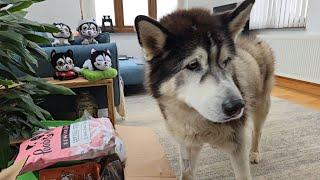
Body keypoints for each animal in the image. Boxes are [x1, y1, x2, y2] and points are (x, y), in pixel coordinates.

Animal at [135, 0, 276, 179]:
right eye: (193, 64)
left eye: (226, 60)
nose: (237, 107)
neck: (198, 120)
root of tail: (253, 38)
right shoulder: (187, 146)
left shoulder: (238, 146)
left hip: (261, 106)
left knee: (257, 131)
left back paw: (255, 152)